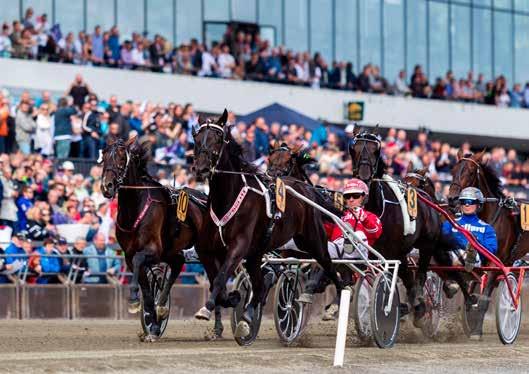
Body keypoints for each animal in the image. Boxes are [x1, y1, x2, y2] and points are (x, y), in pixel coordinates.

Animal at [101, 138, 225, 342]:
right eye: (103, 157)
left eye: (121, 158)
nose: (107, 186)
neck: (135, 207)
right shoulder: (129, 255)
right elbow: (144, 283)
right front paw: (152, 321)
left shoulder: (152, 250)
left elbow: (139, 261)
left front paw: (134, 300)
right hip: (173, 251)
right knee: (177, 265)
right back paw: (161, 310)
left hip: (207, 252)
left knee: (215, 279)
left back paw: (217, 327)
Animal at [190, 109, 342, 334]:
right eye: (196, 138)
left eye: (218, 138)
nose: (200, 168)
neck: (227, 198)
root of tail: (306, 189)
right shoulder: (208, 249)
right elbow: (219, 281)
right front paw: (232, 299)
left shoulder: (239, 246)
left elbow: (220, 276)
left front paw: (206, 308)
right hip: (257, 254)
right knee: (260, 286)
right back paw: (247, 315)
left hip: (315, 242)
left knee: (331, 269)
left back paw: (339, 298)